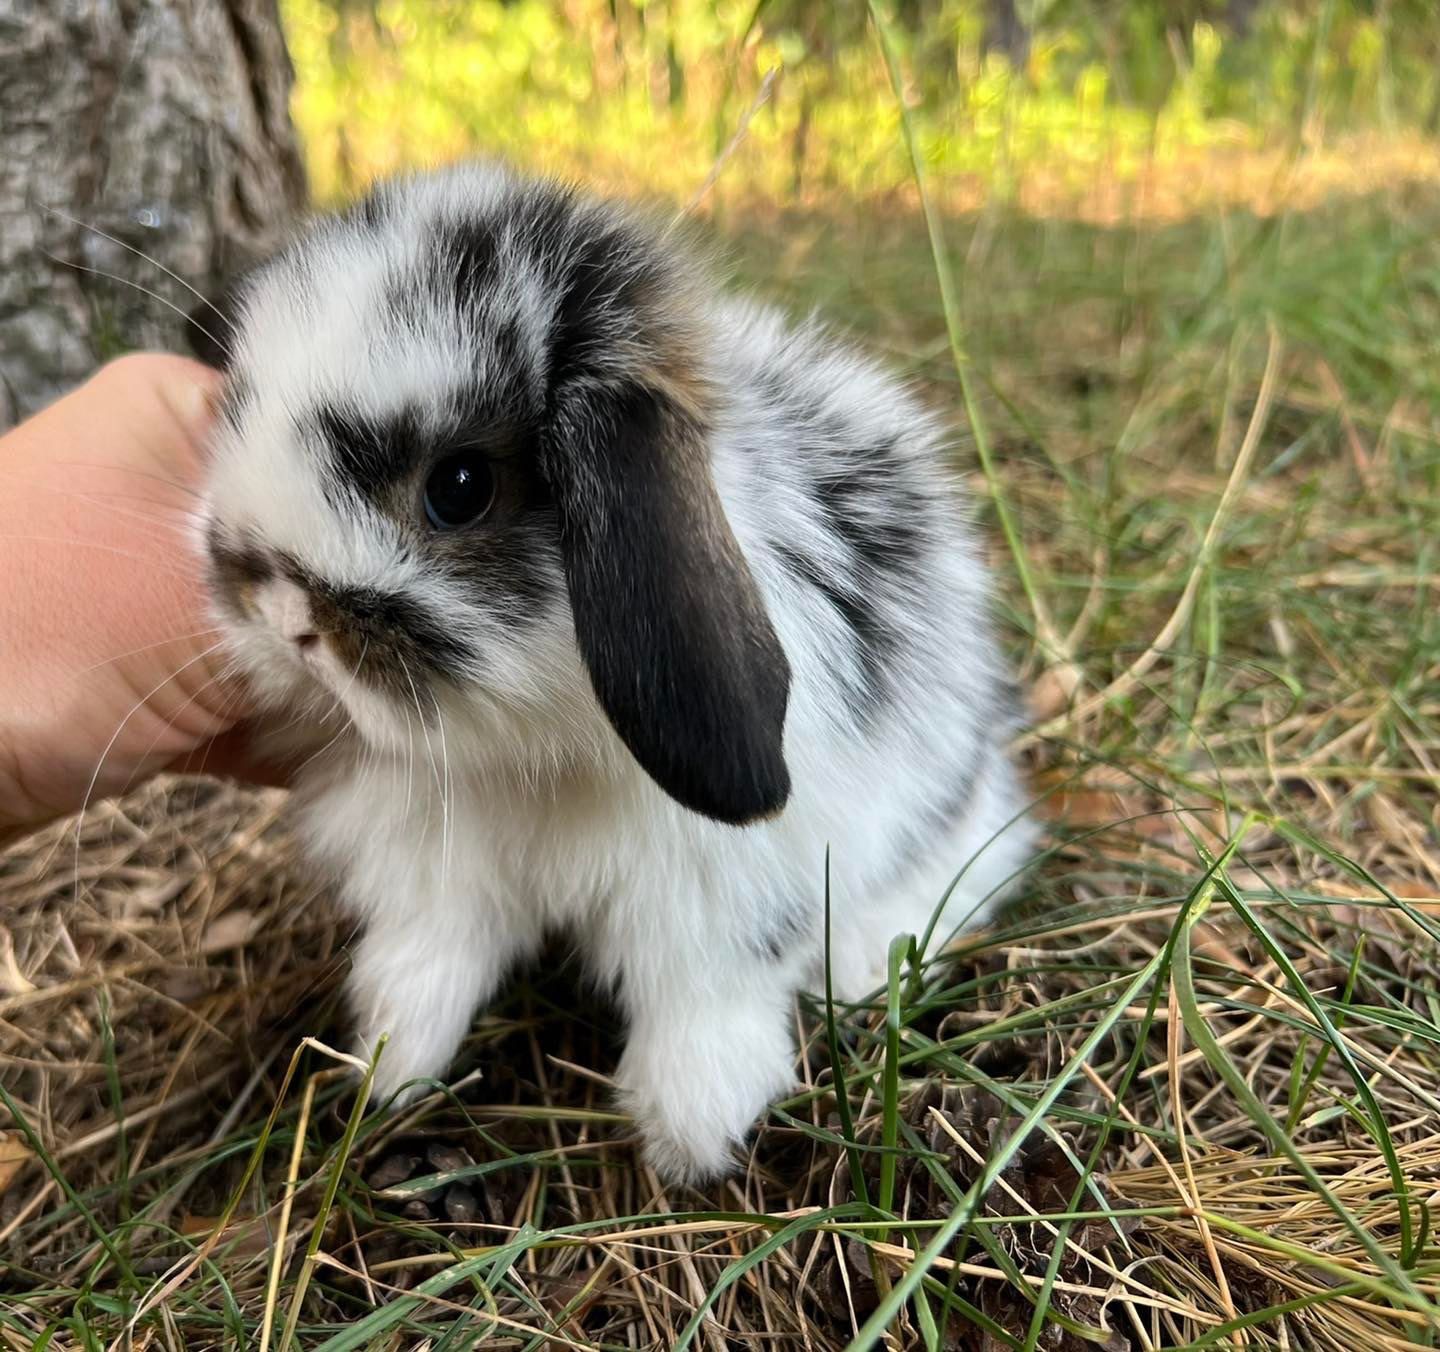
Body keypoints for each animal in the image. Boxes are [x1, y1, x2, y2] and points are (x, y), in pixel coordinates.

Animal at [191, 161, 1036, 1186]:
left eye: (459, 488)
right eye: (238, 408)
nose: (281, 617)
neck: (540, 744)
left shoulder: (723, 894)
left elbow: (702, 1002)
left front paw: (692, 1137)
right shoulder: (438, 876)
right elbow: (429, 963)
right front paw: (390, 1069)